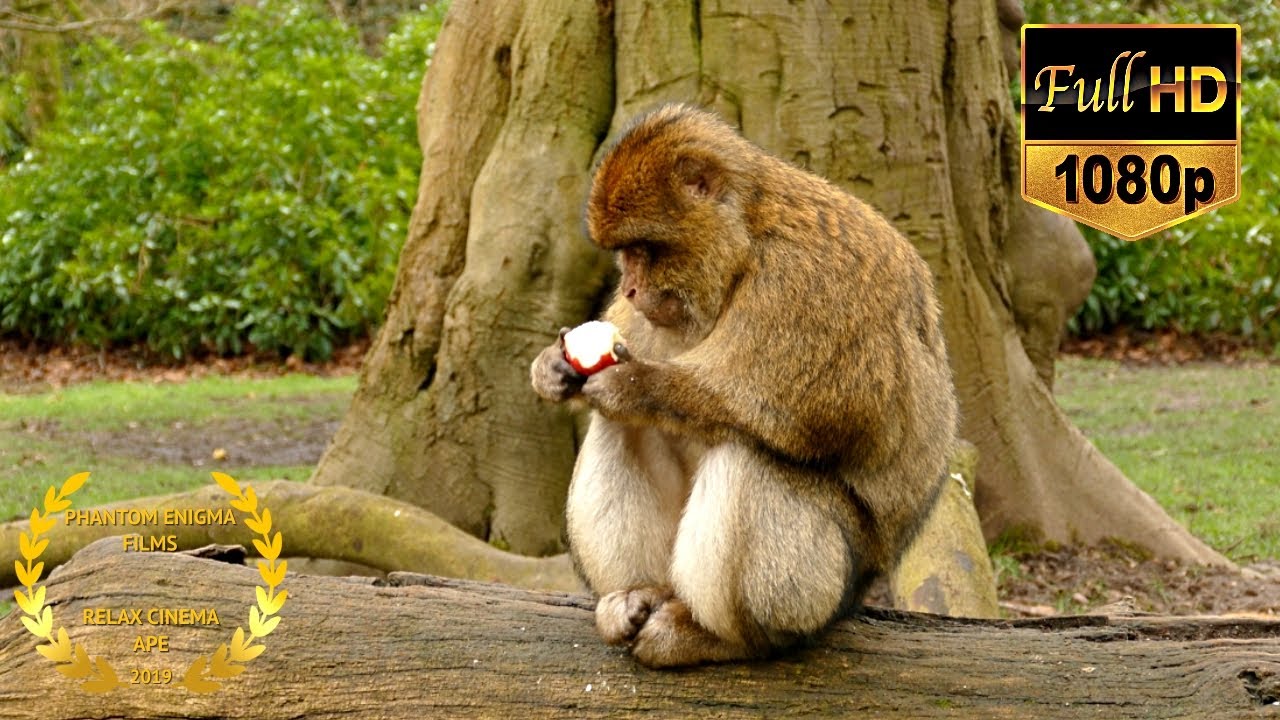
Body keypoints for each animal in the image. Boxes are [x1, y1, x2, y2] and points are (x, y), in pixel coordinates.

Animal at [530, 104, 958, 668]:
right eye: (626, 253)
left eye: (644, 248)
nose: (630, 288)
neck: (749, 240)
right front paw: (550, 367)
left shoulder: (803, 279)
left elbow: (805, 410)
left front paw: (633, 385)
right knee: (623, 430)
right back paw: (636, 594)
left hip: (825, 590)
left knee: (747, 456)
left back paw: (722, 638)